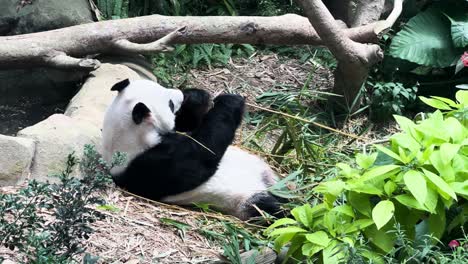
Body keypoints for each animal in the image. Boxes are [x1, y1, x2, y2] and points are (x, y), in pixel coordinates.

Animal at [102, 79, 284, 221]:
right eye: (170, 103)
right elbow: (200, 157)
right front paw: (231, 101)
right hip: (244, 200)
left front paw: (195, 96)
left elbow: (190, 124)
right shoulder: (148, 165)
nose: (179, 94)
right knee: (269, 209)